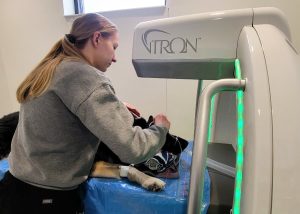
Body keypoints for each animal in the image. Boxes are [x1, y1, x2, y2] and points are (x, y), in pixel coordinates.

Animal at [0, 111, 188, 191]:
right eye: (168, 136)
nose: (186, 143)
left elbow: (127, 167)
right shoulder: (90, 167)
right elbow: (132, 168)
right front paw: (150, 180)